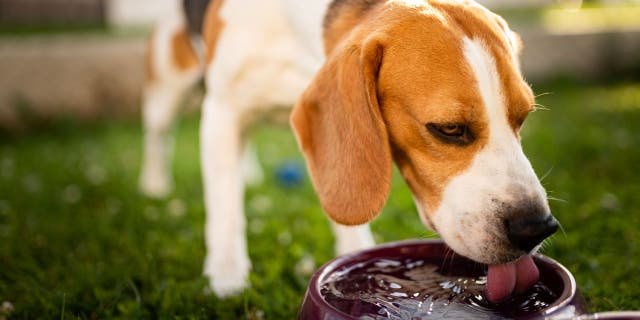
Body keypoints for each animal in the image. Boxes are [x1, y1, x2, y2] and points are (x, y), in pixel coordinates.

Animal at [138, 0, 556, 302]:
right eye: (449, 129)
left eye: (522, 118)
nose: (536, 227)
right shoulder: (222, 111)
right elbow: (225, 209)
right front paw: (227, 279)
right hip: (170, 85)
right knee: (158, 134)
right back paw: (154, 184)